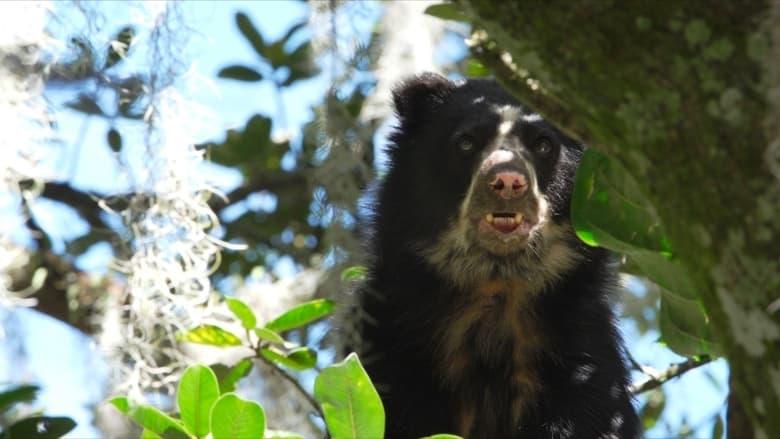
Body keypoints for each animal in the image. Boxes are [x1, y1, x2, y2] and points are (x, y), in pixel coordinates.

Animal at [356, 74, 644, 438]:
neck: (497, 284)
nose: (507, 181)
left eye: (543, 145)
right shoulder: (391, 345)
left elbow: (590, 417)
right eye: (466, 143)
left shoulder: (581, 355)